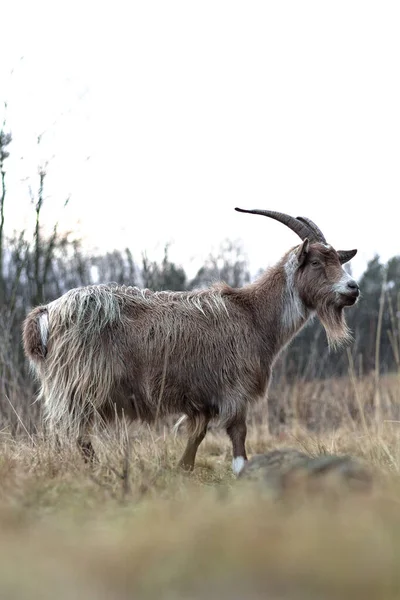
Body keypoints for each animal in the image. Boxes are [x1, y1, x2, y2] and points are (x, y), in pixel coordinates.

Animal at [21, 211, 360, 474]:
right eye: (315, 262)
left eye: (337, 259)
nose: (353, 288)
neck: (252, 313)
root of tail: (47, 312)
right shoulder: (234, 388)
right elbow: (238, 433)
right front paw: (241, 472)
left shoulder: (202, 398)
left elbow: (196, 436)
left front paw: (183, 469)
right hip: (79, 384)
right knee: (77, 434)